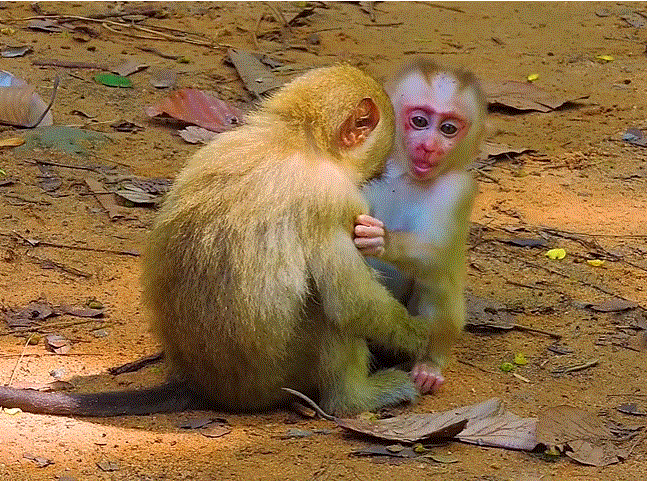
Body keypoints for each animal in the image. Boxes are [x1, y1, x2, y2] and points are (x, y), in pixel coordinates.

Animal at [0, 64, 441, 417]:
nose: (382, 174)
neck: (297, 138)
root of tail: (204, 386)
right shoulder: (333, 196)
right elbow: (351, 304)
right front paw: (423, 338)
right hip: (283, 374)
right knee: (328, 311)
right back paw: (354, 400)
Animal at [353, 59, 487, 395]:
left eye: (448, 129)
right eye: (419, 121)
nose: (429, 146)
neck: (406, 175)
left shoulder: (458, 188)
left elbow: (439, 255)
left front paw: (383, 240)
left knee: (436, 279)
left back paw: (428, 364)